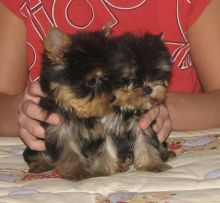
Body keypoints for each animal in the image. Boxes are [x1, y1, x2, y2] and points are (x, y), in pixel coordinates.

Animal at [22, 26, 116, 179]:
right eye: (92, 81)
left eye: (108, 77)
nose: (113, 98)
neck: (75, 109)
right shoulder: (58, 129)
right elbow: (69, 151)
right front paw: (77, 171)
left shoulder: (102, 127)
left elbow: (106, 147)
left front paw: (104, 168)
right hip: (36, 142)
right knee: (33, 152)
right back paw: (40, 163)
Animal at [102, 32, 176, 173]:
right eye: (130, 77)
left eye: (158, 73)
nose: (148, 88)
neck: (125, 107)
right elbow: (105, 146)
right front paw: (108, 168)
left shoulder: (143, 123)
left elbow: (146, 142)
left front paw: (152, 164)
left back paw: (164, 153)